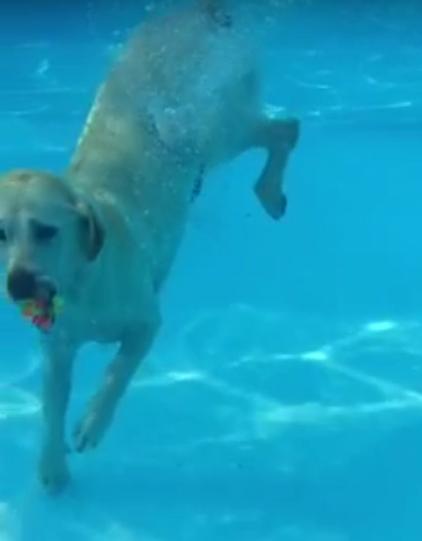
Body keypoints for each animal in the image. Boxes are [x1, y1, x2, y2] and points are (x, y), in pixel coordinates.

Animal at [0, 0, 298, 490]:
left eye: (46, 231)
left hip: (209, 126)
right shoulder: (57, 348)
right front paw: (52, 467)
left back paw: (270, 190)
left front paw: (93, 422)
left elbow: (118, 371)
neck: (84, 278)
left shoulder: (145, 325)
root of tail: (198, 14)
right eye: (1, 235)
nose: (18, 285)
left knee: (286, 128)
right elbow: (51, 406)